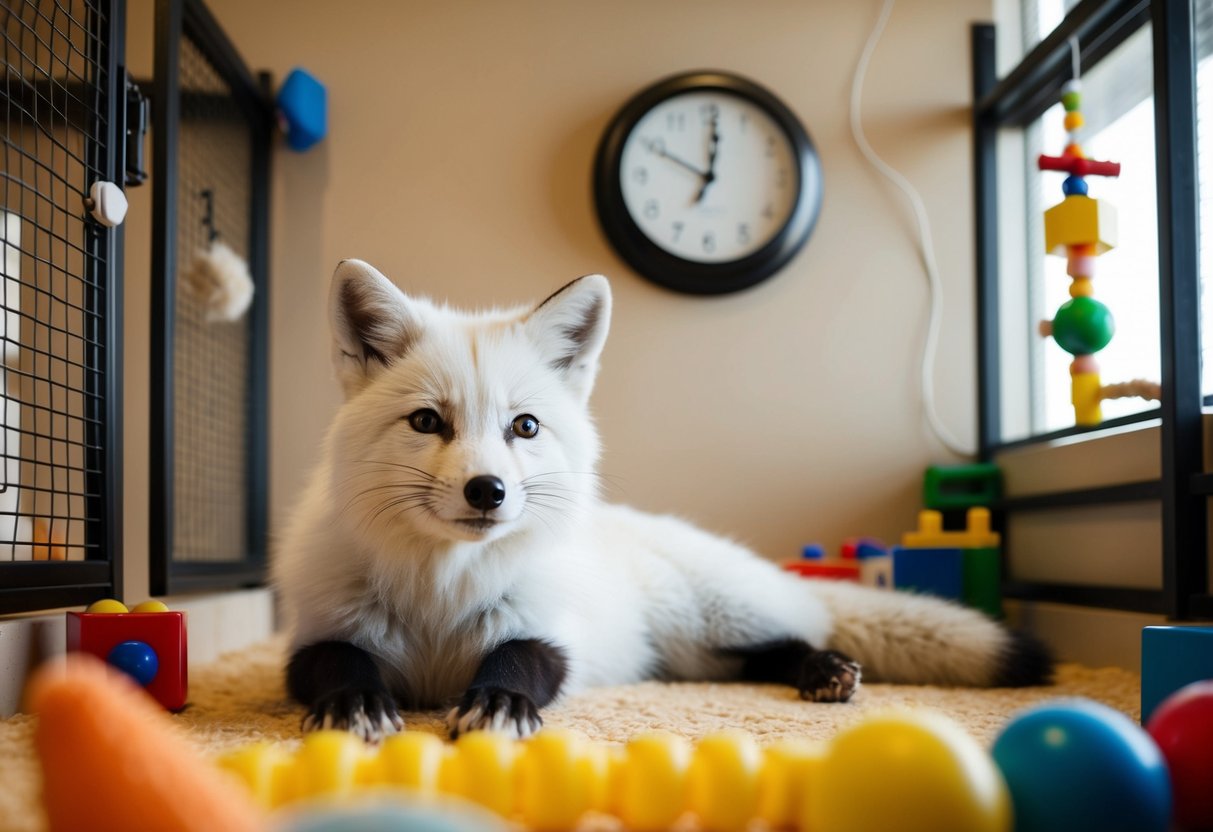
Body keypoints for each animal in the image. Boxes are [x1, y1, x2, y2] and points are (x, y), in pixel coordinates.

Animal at [273, 260, 1052, 743]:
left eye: (524, 426)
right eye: (427, 422)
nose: (487, 492)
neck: (441, 599)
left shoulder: (549, 632)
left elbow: (516, 664)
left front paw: (499, 706)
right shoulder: (318, 634)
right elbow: (341, 666)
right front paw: (354, 706)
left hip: (710, 622)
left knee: (795, 637)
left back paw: (825, 670)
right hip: (695, 657)